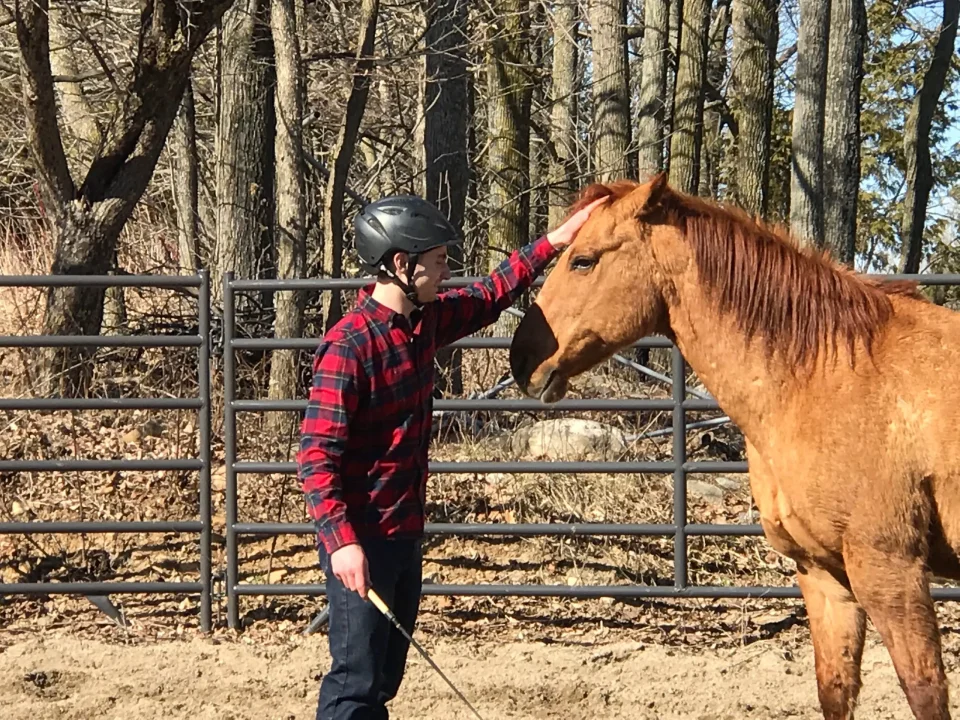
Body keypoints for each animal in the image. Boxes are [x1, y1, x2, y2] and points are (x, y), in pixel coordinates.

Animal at [509, 172, 960, 720]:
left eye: (583, 260)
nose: (520, 359)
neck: (829, 373)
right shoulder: (823, 575)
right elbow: (835, 689)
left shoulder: (892, 571)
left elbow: (924, 692)